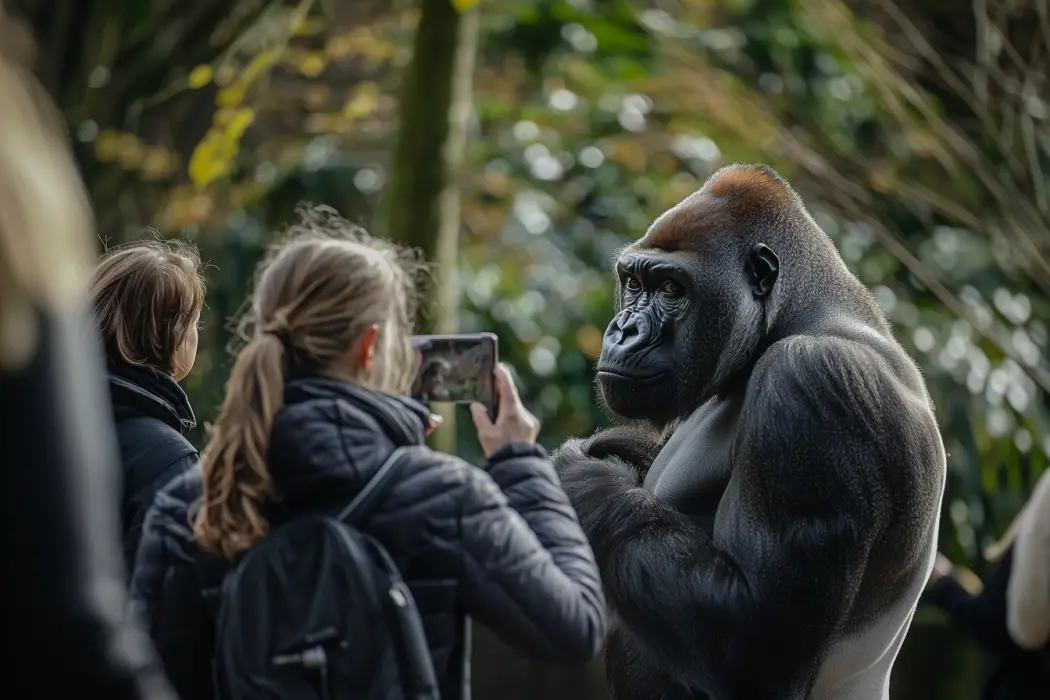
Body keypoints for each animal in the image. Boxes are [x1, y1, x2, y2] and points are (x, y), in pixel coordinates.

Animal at [552, 164, 946, 700]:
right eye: (632, 282)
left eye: (672, 289)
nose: (623, 331)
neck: (802, 315)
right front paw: (605, 450)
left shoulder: (811, 382)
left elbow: (751, 639)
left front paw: (578, 477)